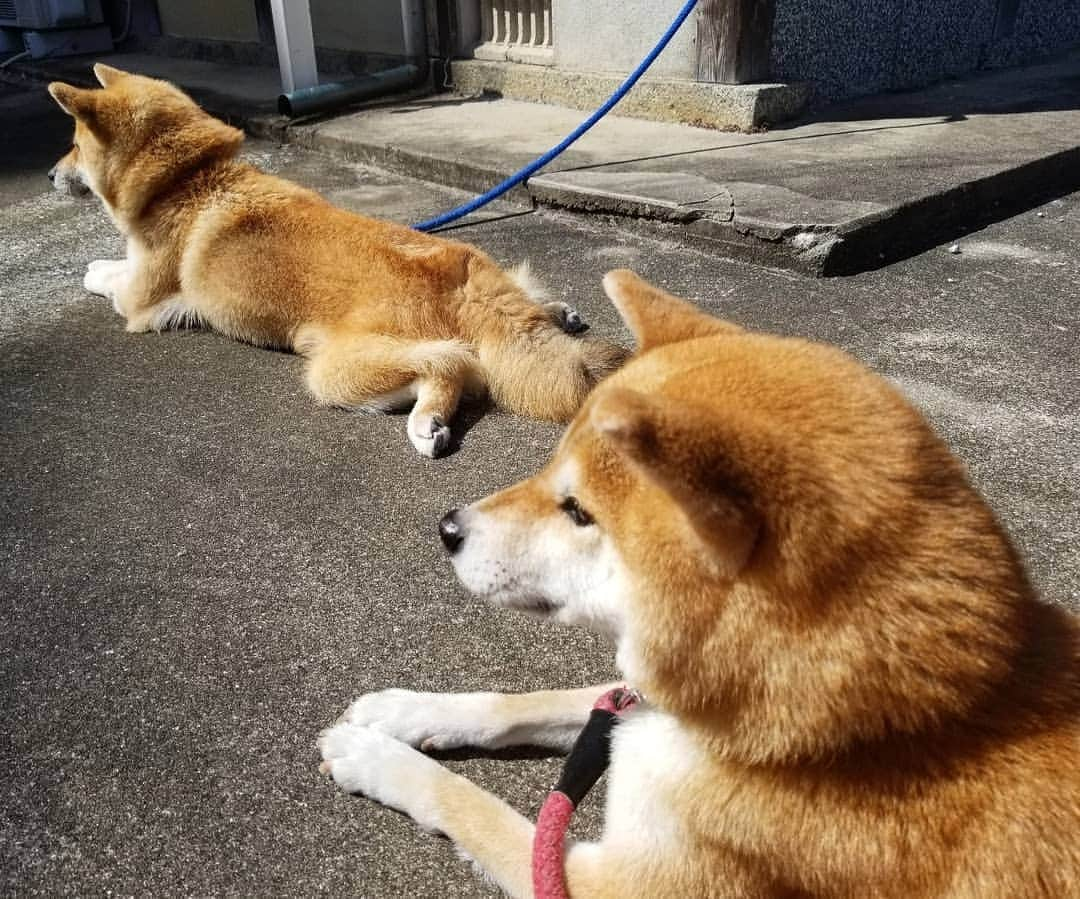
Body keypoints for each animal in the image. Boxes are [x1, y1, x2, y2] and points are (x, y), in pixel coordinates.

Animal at [48, 64, 626, 455]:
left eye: (73, 145)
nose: (50, 174)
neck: (190, 179)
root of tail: (457, 282)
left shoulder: (139, 299)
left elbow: (108, 273)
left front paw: (90, 268)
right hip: (485, 282)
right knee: (512, 313)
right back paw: (557, 315)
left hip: (333, 370)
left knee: (454, 364)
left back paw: (427, 421)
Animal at [319, 270, 1080, 894]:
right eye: (551, 467)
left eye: (579, 510)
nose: (447, 526)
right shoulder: (643, 710)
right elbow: (524, 702)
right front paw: (401, 712)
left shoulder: (607, 881)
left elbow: (471, 804)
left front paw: (373, 757)